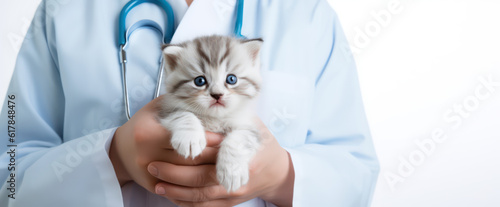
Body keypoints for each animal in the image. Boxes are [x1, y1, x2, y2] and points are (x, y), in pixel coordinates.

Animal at [158, 34, 264, 192]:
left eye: (231, 79)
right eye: (200, 81)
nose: (217, 95)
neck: (214, 118)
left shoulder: (248, 126)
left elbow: (240, 139)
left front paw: (232, 171)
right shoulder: (166, 111)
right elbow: (184, 114)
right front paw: (190, 138)